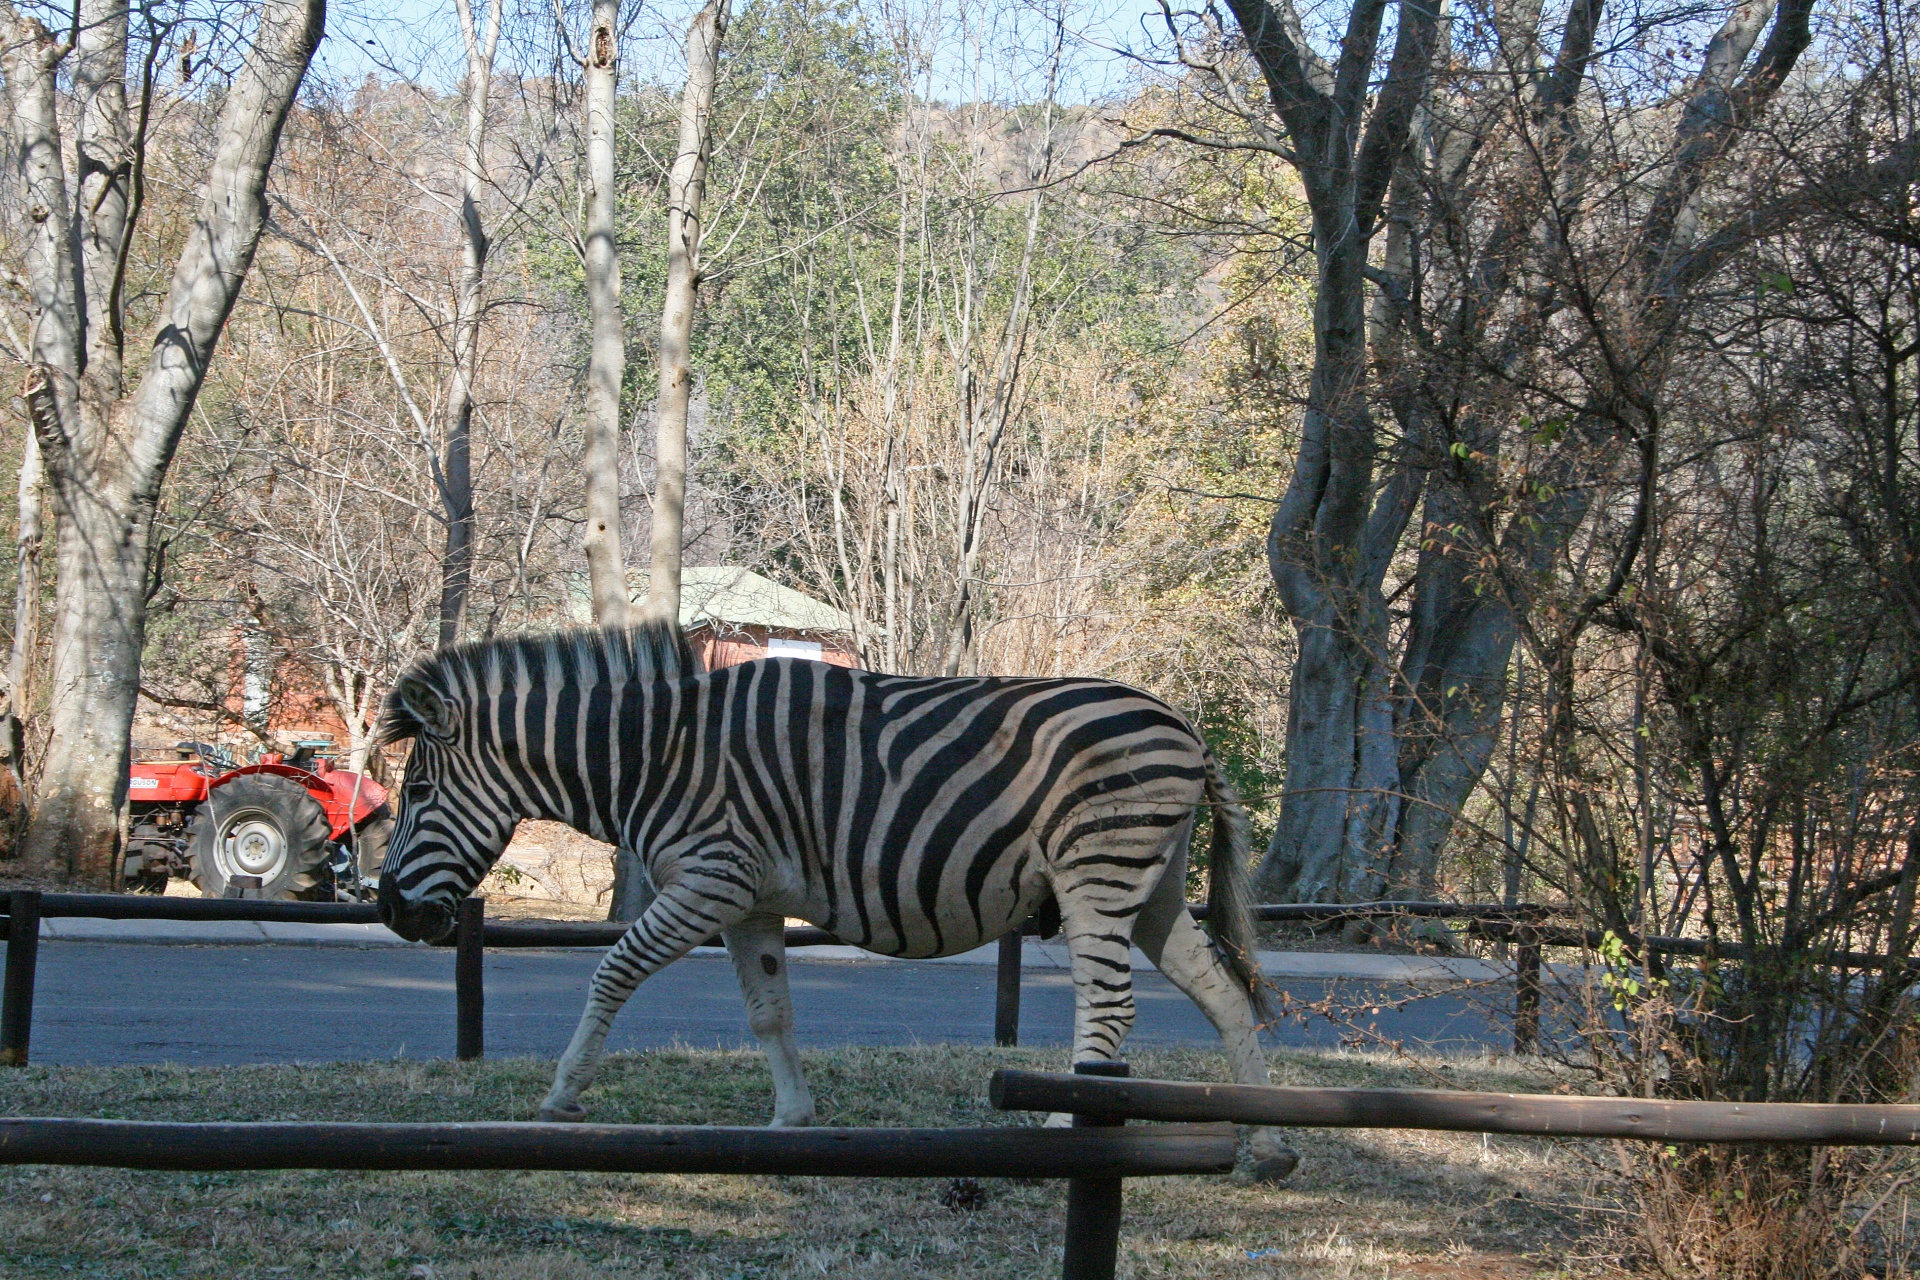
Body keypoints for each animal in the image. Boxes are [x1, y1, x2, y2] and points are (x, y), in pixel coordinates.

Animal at [370, 621, 1305, 1182]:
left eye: (416, 792)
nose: (389, 914)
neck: (658, 754)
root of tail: (1186, 727)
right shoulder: (747, 897)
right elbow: (769, 1010)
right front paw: (793, 1118)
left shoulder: (708, 877)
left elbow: (613, 972)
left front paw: (563, 1097)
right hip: (1149, 889)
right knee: (1225, 998)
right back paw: (1267, 1148)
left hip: (1097, 875)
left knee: (1110, 1007)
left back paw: (1066, 1140)